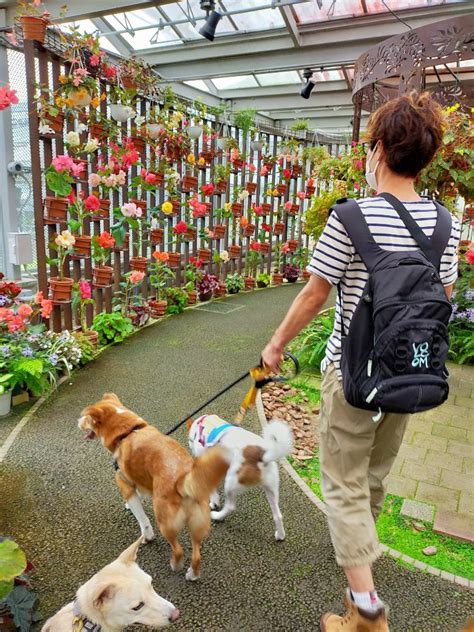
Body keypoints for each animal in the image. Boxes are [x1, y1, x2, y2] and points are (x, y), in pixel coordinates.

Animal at [78, 396, 231, 584]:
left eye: (86, 418)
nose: (78, 422)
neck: (127, 432)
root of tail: (183, 481)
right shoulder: (141, 481)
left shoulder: (124, 483)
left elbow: (142, 519)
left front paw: (147, 536)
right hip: (198, 523)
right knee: (196, 555)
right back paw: (192, 574)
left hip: (165, 522)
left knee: (178, 550)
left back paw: (175, 565)